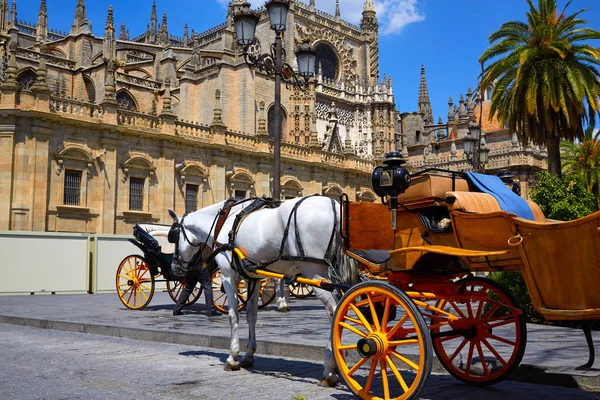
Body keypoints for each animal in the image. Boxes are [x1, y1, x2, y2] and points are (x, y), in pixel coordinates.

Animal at [166, 195, 358, 386]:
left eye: (174, 236)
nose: (175, 267)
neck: (224, 221)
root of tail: (335, 205)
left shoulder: (228, 276)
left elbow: (233, 316)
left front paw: (232, 357)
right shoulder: (253, 278)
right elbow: (252, 315)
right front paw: (248, 355)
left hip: (315, 272)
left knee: (335, 312)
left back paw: (329, 369)